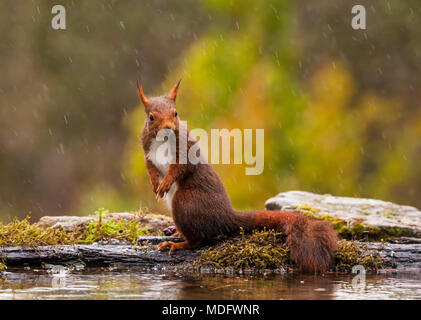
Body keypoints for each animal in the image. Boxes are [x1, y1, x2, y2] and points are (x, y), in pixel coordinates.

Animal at [136, 80, 336, 272]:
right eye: (151, 117)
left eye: (176, 113)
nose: (168, 128)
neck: (161, 141)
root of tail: (226, 216)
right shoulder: (147, 153)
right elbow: (151, 168)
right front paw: (155, 183)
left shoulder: (185, 150)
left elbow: (180, 168)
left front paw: (165, 182)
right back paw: (177, 233)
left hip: (185, 202)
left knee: (198, 240)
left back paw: (177, 244)